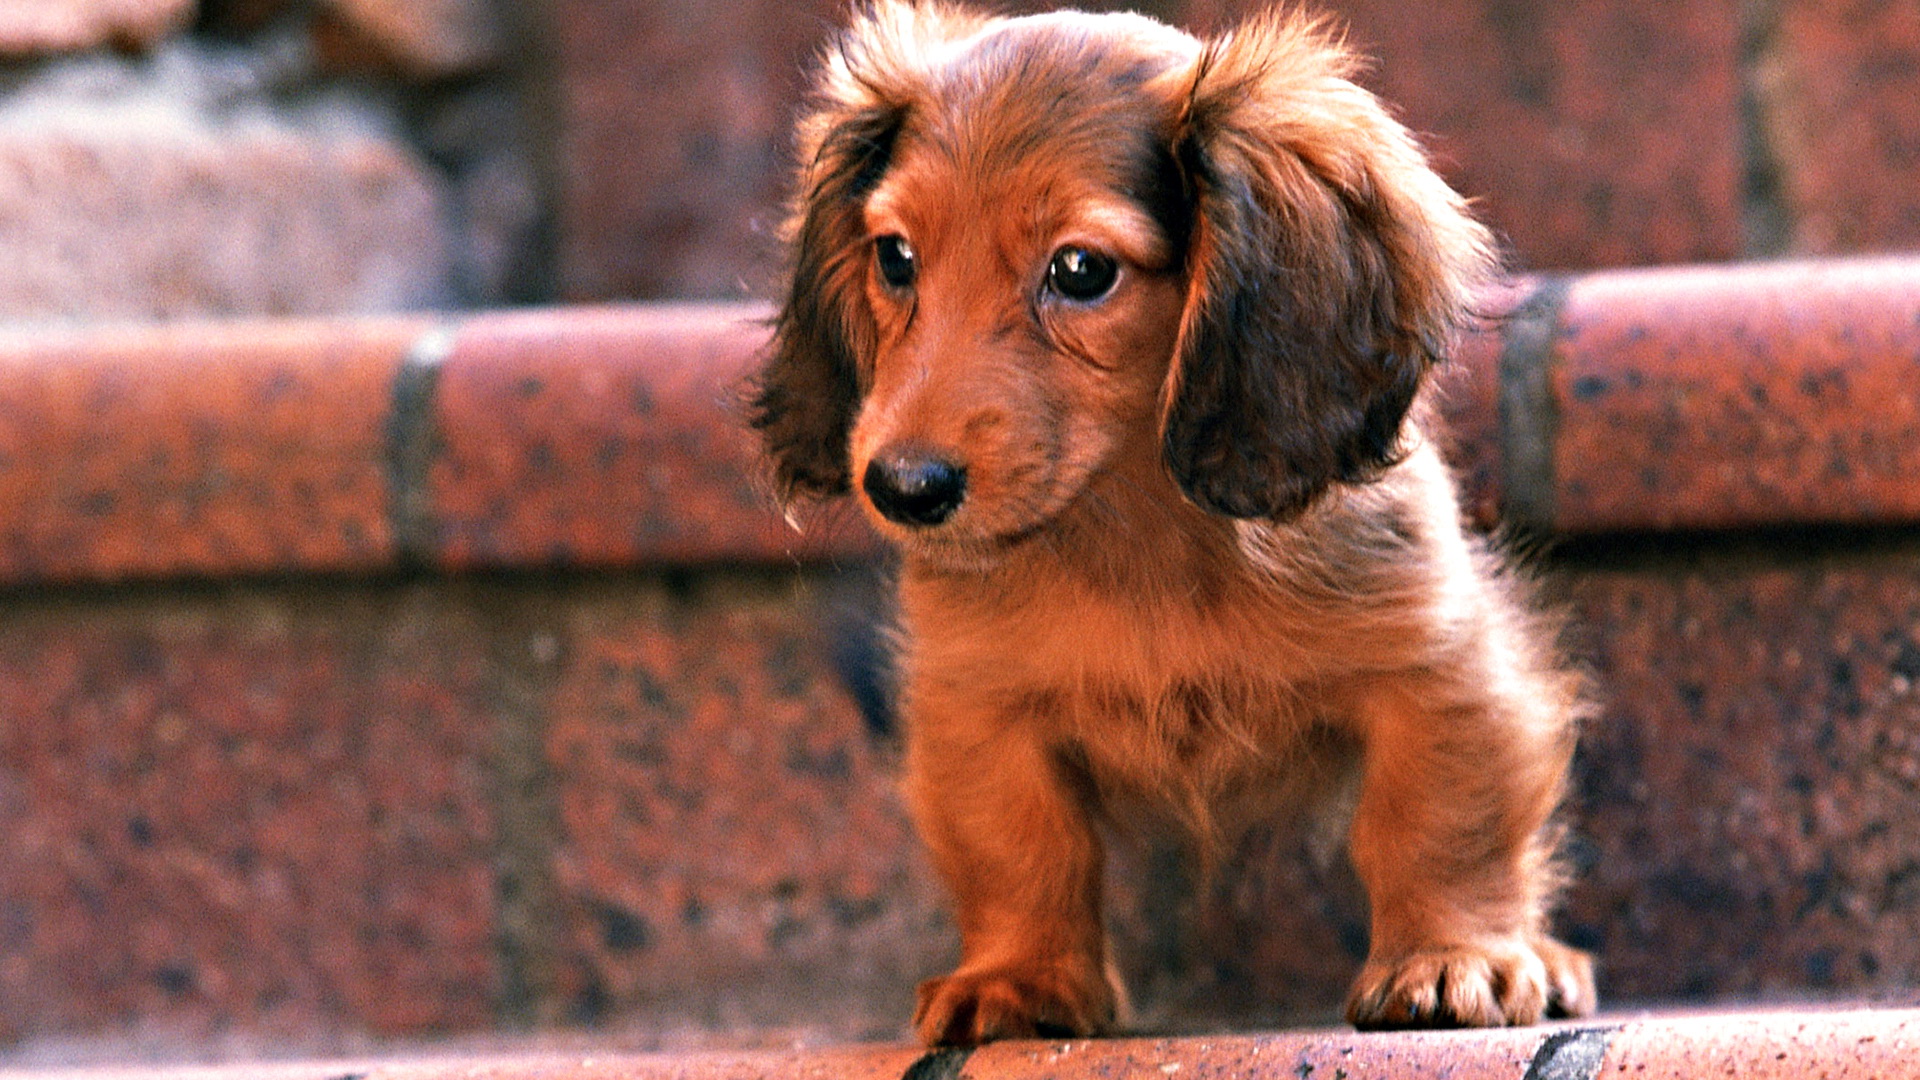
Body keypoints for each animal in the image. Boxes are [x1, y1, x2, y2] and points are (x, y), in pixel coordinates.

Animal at [756, 0, 1597, 1045]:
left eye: (1080, 270)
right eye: (895, 256)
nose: (903, 488)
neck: (1139, 534)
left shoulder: (1437, 660)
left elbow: (1438, 818)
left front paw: (1450, 956)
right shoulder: (978, 702)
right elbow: (1021, 847)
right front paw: (1019, 976)